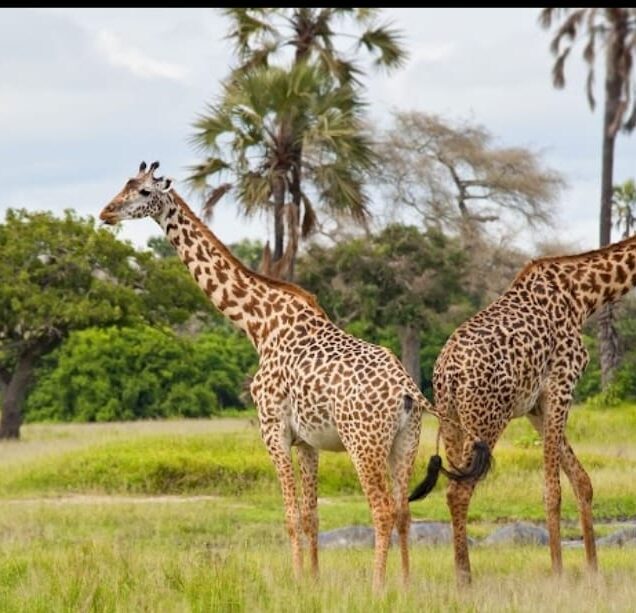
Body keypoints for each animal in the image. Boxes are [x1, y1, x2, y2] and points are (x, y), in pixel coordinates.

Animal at [410, 233, 636, 584]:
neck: (583, 296)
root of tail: (447, 373)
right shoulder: (561, 386)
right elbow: (553, 490)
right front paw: (558, 572)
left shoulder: (534, 406)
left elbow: (582, 480)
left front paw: (593, 571)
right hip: (486, 419)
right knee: (459, 490)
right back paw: (465, 580)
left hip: (451, 420)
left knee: (451, 488)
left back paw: (461, 574)